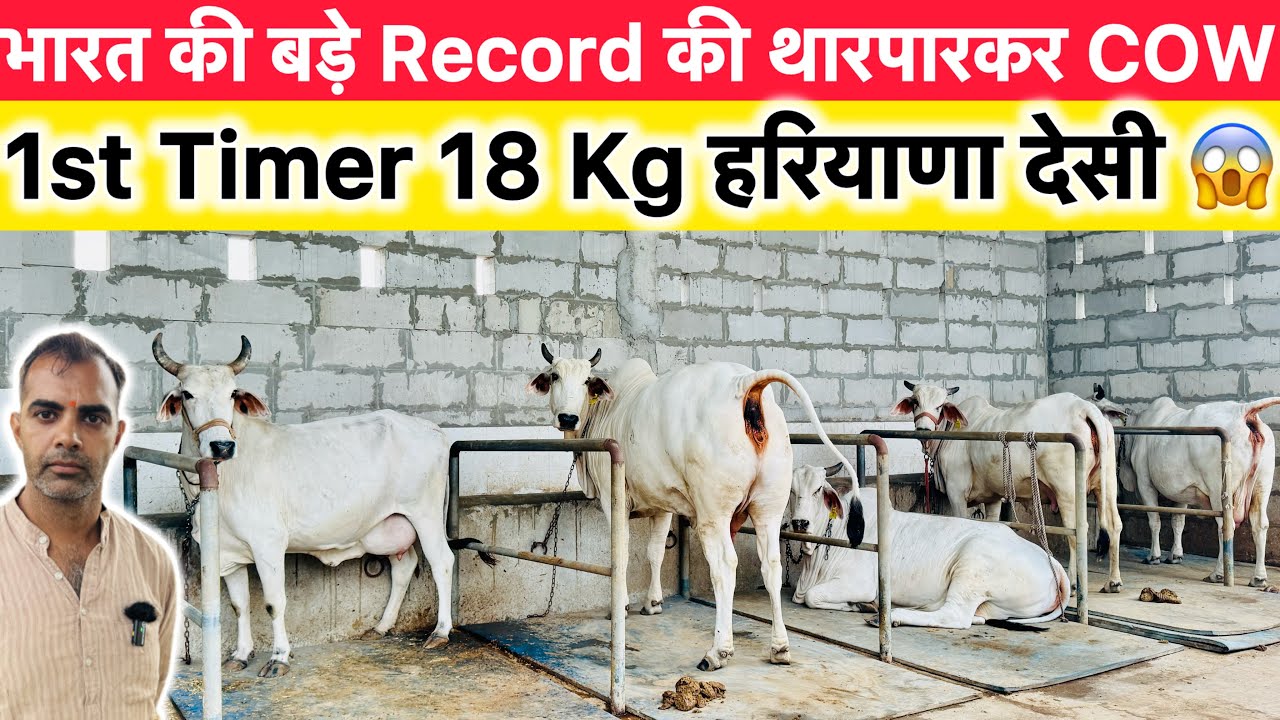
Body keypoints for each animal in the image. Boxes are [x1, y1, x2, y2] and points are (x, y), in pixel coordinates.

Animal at [153, 334, 463, 677]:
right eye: (188, 393)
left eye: (232, 393)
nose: (222, 446)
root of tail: (432, 429)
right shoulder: (228, 553)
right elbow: (239, 604)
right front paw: (240, 654)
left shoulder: (268, 543)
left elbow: (274, 602)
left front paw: (279, 657)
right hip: (388, 524)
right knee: (404, 566)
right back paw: (382, 626)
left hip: (425, 514)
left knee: (442, 561)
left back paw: (440, 632)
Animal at [527, 344, 861, 671]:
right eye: (555, 375)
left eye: (586, 380)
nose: (568, 418)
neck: (607, 411)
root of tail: (745, 384)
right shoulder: (661, 503)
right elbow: (655, 551)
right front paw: (653, 602)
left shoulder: (614, 499)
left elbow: (620, 555)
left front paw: (619, 606)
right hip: (769, 507)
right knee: (772, 566)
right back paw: (779, 647)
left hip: (713, 513)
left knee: (725, 567)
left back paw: (718, 651)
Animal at [789, 465, 1070, 629]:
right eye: (791, 491)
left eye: (818, 490)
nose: (800, 522)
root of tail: (1054, 564)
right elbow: (801, 597)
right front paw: (862, 605)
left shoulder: (859, 583)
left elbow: (812, 597)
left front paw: (860, 605)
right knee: (974, 617)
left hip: (972, 570)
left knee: (955, 616)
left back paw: (890, 616)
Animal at [894, 381, 1124, 593]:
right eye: (915, 402)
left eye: (940, 406)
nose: (923, 429)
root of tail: (1083, 407)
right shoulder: (993, 497)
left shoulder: (956, 491)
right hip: (1106, 484)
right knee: (1114, 525)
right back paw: (1113, 581)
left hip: (1067, 489)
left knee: (1076, 530)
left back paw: (1074, 582)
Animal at [1091, 384, 1279, 587]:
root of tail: (1243, 410)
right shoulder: (1182, 491)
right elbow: (1178, 521)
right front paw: (1176, 555)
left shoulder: (1144, 483)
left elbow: (1154, 520)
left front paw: (1154, 556)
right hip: (1262, 485)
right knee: (1260, 525)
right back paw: (1259, 577)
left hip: (1219, 491)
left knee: (1225, 527)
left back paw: (1218, 573)